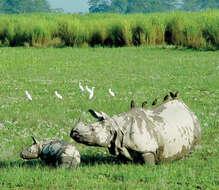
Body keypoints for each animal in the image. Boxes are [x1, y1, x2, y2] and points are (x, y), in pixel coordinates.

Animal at [71, 99, 201, 165]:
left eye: (92, 129)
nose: (73, 133)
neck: (115, 127)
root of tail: (186, 107)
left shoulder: (147, 148)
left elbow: (149, 161)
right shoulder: (119, 144)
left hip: (194, 124)